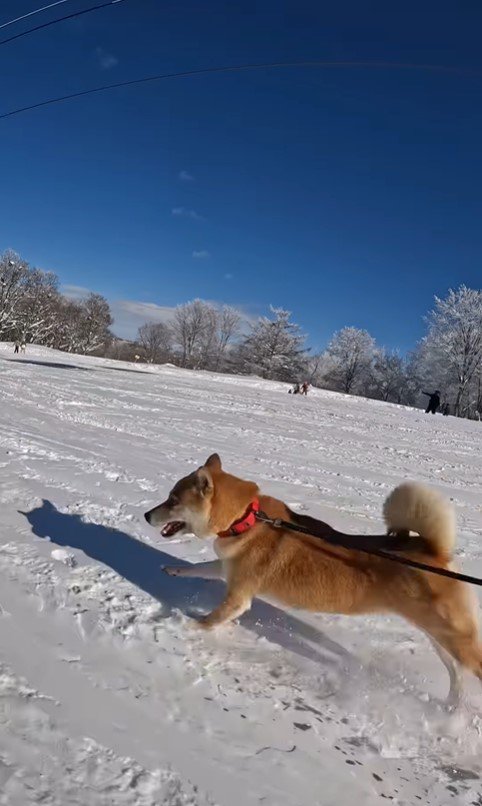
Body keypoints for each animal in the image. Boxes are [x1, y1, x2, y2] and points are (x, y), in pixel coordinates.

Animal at [145, 454, 482, 708]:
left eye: (173, 500)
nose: (147, 515)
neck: (248, 519)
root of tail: (435, 551)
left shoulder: (239, 596)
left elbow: (210, 619)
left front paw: (184, 625)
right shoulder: (226, 569)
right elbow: (198, 568)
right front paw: (172, 570)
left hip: (454, 638)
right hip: (439, 638)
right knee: (457, 675)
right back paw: (452, 709)